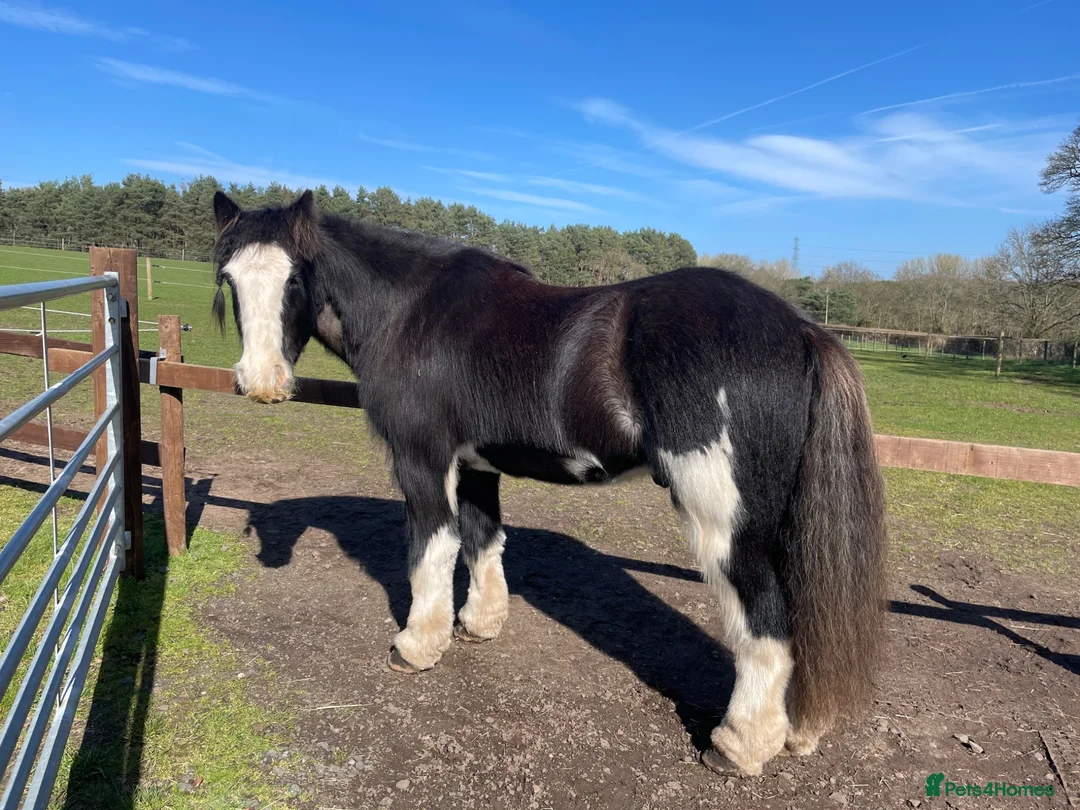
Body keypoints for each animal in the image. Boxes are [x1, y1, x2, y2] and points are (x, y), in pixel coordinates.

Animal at [210, 189, 887, 777]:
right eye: (230, 280)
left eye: (295, 279)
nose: (260, 381)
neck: (412, 311)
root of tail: (803, 330)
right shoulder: (476, 465)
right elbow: (482, 540)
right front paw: (478, 624)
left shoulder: (422, 460)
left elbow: (432, 550)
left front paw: (417, 646)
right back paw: (794, 730)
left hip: (722, 522)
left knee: (764, 618)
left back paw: (739, 745)